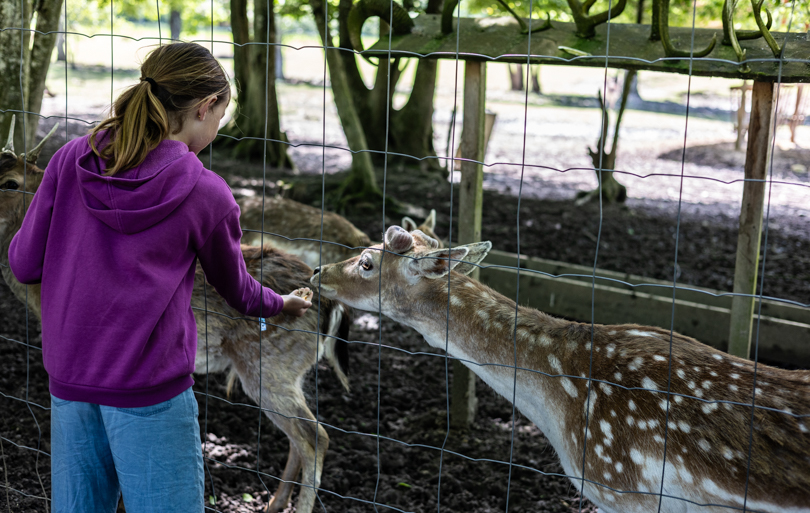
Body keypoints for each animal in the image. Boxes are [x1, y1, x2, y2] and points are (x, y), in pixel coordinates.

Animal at [0, 119, 348, 512]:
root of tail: (331, 306)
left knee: (315, 436)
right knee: (300, 436)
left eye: (10, 182)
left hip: (268, 365)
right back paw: (273, 503)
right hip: (290, 371)